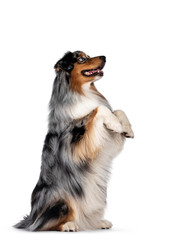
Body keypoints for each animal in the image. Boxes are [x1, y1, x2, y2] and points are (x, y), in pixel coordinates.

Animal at [15, 51, 134, 232]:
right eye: (82, 59)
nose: (104, 57)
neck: (83, 92)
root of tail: (32, 218)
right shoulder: (76, 147)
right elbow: (98, 109)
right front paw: (114, 123)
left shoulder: (106, 143)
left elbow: (118, 111)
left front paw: (126, 128)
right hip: (60, 202)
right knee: (46, 224)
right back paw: (68, 225)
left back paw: (98, 222)